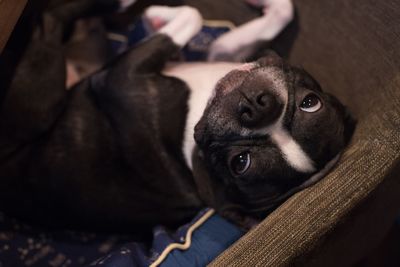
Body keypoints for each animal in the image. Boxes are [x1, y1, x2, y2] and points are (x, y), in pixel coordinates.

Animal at [0, 0, 354, 239]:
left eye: (241, 163)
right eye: (311, 103)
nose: (258, 106)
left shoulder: (120, 78)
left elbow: (191, 16)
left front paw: (154, 15)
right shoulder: (218, 52)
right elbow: (277, 16)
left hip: (37, 97)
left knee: (47, 20)